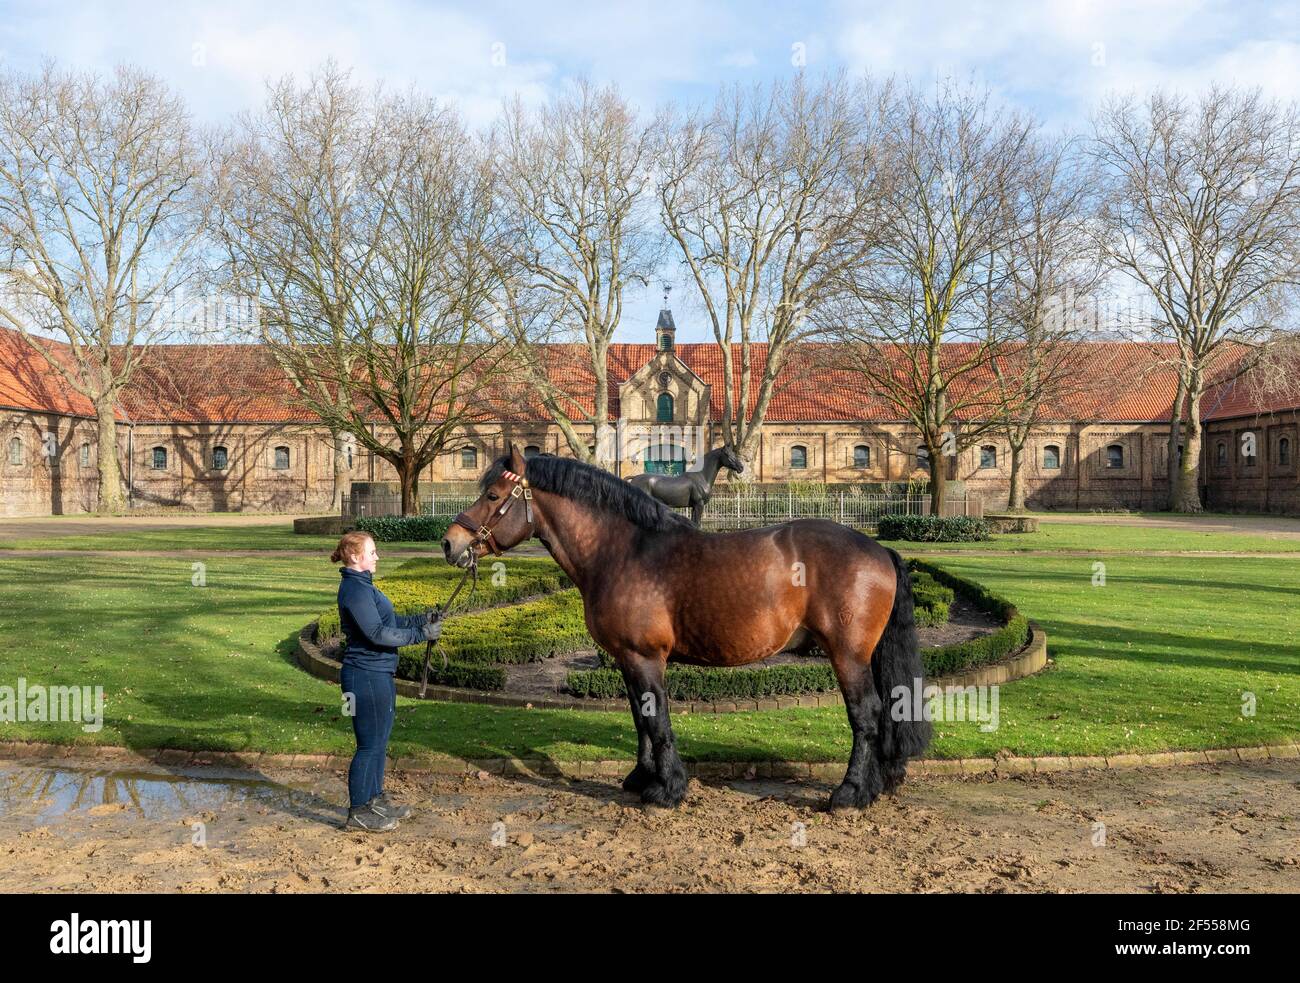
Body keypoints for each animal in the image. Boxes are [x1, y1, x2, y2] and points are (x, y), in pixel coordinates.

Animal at [441, 444, 930, 806]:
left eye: (491, 496)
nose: (451, 543)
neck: (623, 551)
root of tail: (878, 549)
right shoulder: (626, 660)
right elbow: (640, 718)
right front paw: (641, 777)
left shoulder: (645, 657)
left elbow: (657, 720)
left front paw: (668, 789)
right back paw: (874, 785)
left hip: (847, 654)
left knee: (865, 713)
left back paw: (849, 793)